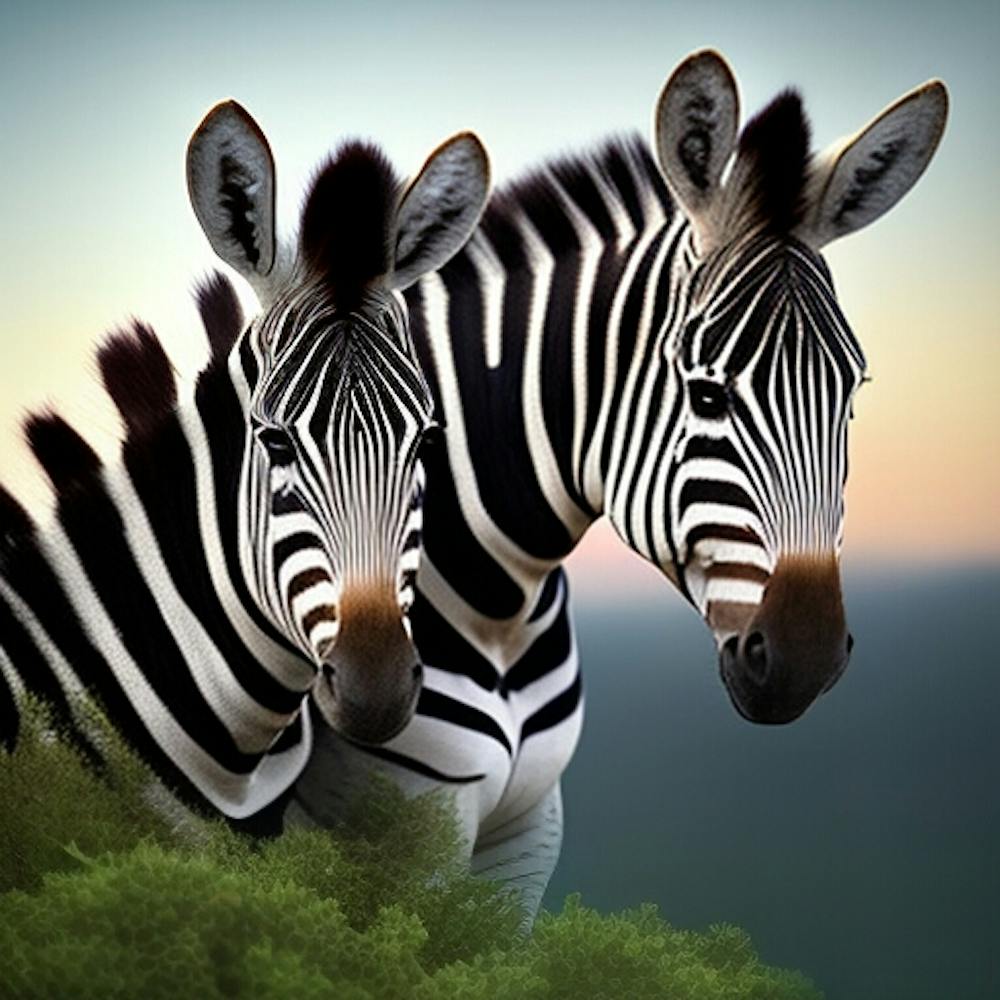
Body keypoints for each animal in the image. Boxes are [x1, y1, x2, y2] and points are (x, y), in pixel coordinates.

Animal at [291, 50, 948, 920]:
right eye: (706, 395)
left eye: (852, 390)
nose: (805, 659)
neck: (498, 608)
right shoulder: (400, 831)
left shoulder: (529, 829)